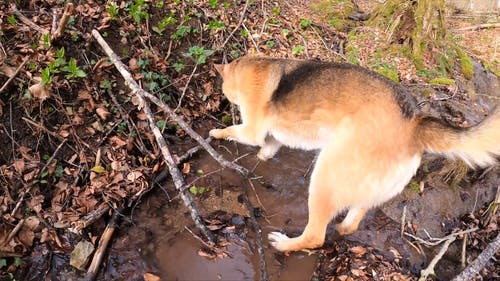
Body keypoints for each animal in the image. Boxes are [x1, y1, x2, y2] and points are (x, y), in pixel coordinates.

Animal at [208, 54, 500, 252]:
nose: (224, 98)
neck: (252, 67)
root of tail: (414, 124)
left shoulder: (251, 130)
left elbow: (235, 131)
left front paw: (215, 133)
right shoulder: (272, 138)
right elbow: (267, 149)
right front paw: (259, 160)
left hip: (324, 178)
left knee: (315, 236)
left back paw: (285, 244)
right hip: (367, 189)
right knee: (351, 223)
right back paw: (340, 229)